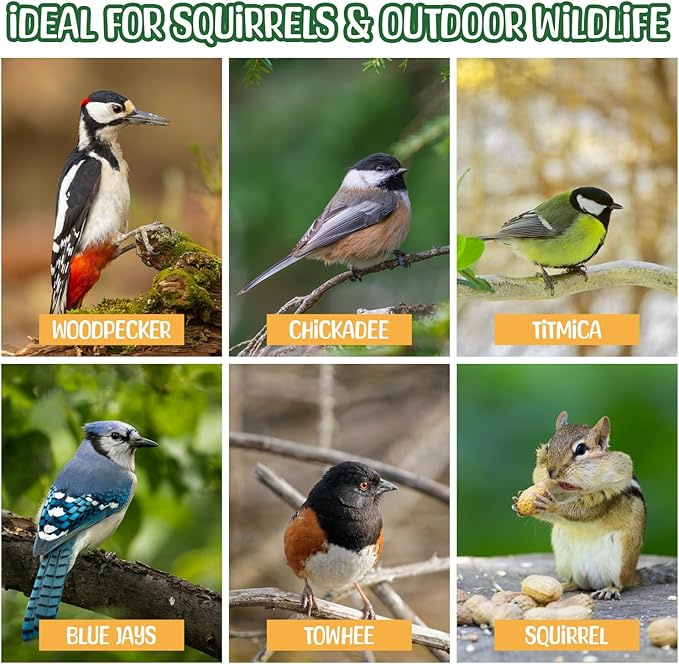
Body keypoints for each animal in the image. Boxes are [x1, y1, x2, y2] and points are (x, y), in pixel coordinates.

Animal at [512, 410, 676, 600]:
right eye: (548, 447)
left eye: (581, 449)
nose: (551, 472)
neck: (572, 492)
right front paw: (519, 502)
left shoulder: (605, 497)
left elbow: (582, 512)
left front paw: (551, 505)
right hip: (565, 560)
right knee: (574, 582)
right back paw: (562, 585)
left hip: (619, 561)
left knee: (620, 584)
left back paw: (610, 589)